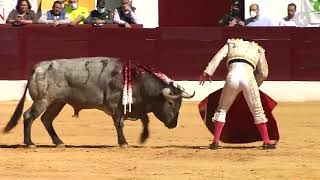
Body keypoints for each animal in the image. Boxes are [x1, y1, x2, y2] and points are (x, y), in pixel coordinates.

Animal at [3, 57, 194, 147]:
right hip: (43, 100)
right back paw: (29, 143)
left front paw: (143, 137)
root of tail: (38, 67)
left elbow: (145, 120)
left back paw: (59, 142)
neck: (138, 80)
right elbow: (120, 124)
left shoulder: (136, 107)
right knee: (29, 116)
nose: (173, 124)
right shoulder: (116, 106)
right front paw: (123, 143)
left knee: (46, 119)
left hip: (57, 102)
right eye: (171, 104)